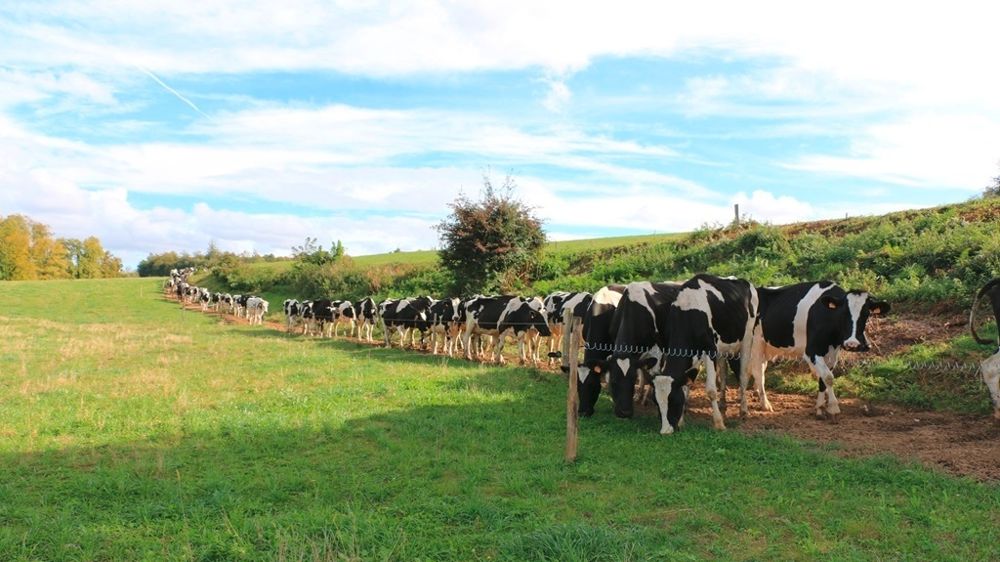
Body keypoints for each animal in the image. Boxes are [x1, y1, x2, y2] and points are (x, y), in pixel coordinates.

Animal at [655, 274, 758, 434]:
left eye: (672, 400)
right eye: (657, 404)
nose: (665, 431)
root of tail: (743, 281)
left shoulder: (710, 350)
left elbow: (710, 390)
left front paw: (719, 423)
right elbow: (686, 386)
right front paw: (681, 421)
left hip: (747, 338)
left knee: (743, 375)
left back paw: (743, 410)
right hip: (723, 349)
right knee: (723, 374)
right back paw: (723, 403)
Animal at [753, 281, 889, 421]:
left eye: (866, 314)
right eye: (843, 313)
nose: (852, 344)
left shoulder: (832, 354)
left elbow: (823, 379)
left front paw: (819, 409)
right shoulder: (812, 351)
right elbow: (828, 377)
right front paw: (833, 407)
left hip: (765, 347)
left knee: (759, 369)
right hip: (756, 344)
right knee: (758, 372)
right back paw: (765, 404)